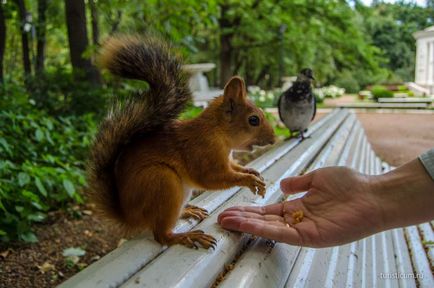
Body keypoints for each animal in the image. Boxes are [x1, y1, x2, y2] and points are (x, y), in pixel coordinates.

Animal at [87, 35, 274, 249]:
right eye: (254, 120)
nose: (274, 138)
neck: (218, 132)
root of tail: (129, 216)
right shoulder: (202, 153)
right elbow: (212, 178)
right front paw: (249, 180)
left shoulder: (227, 159)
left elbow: (235, 167)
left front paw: (252, 172)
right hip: (162, 181)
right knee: (161, 235)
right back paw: (184, 237)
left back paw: (187, 211)